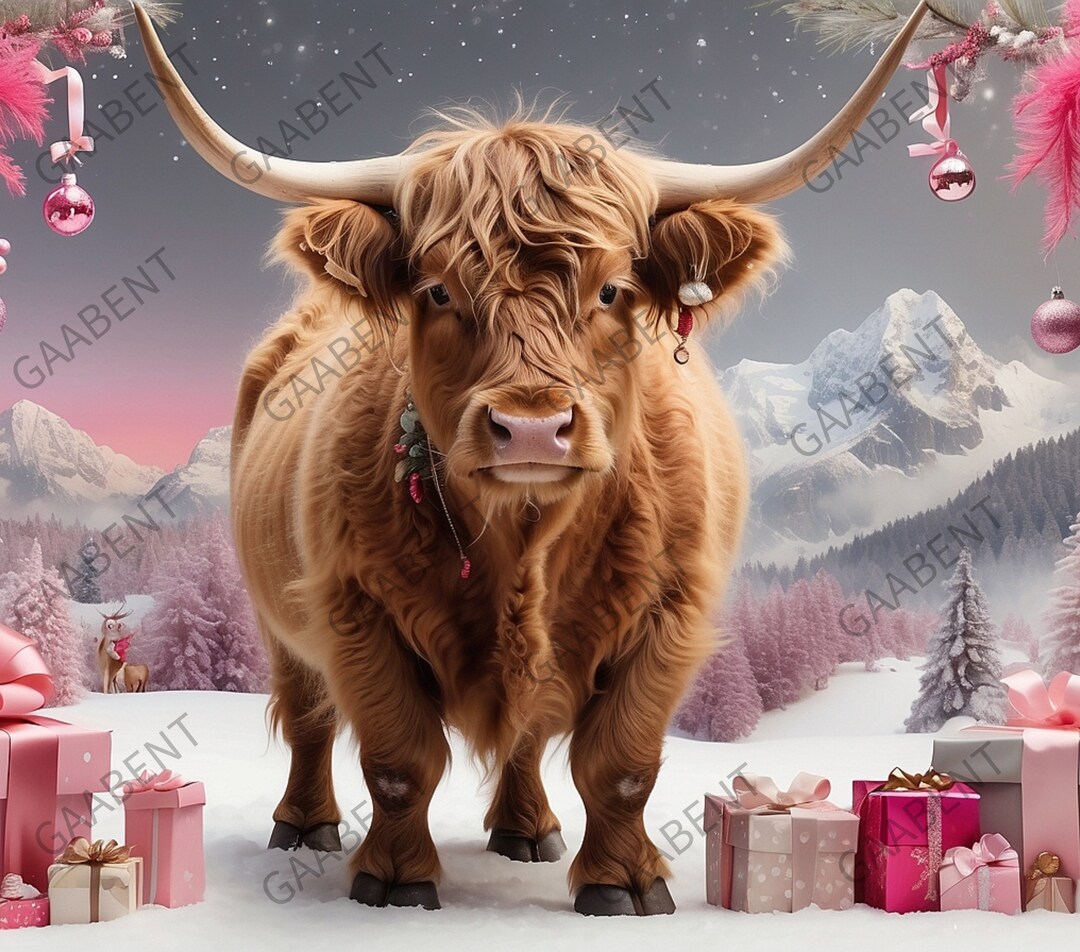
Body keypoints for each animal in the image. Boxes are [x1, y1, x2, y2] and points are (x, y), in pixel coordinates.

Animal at [134, 2, 929, 915]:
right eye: (438, 289)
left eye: (614, 288)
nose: (533, 427)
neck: (525, 541)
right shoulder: (354, 608)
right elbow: (399, 759)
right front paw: (394, 877)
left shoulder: (671, 614)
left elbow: (621, 763)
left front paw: (623, 882)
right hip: (275, 614)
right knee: (308, 717)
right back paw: (305, 825)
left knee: (524, 733)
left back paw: (525, 830)